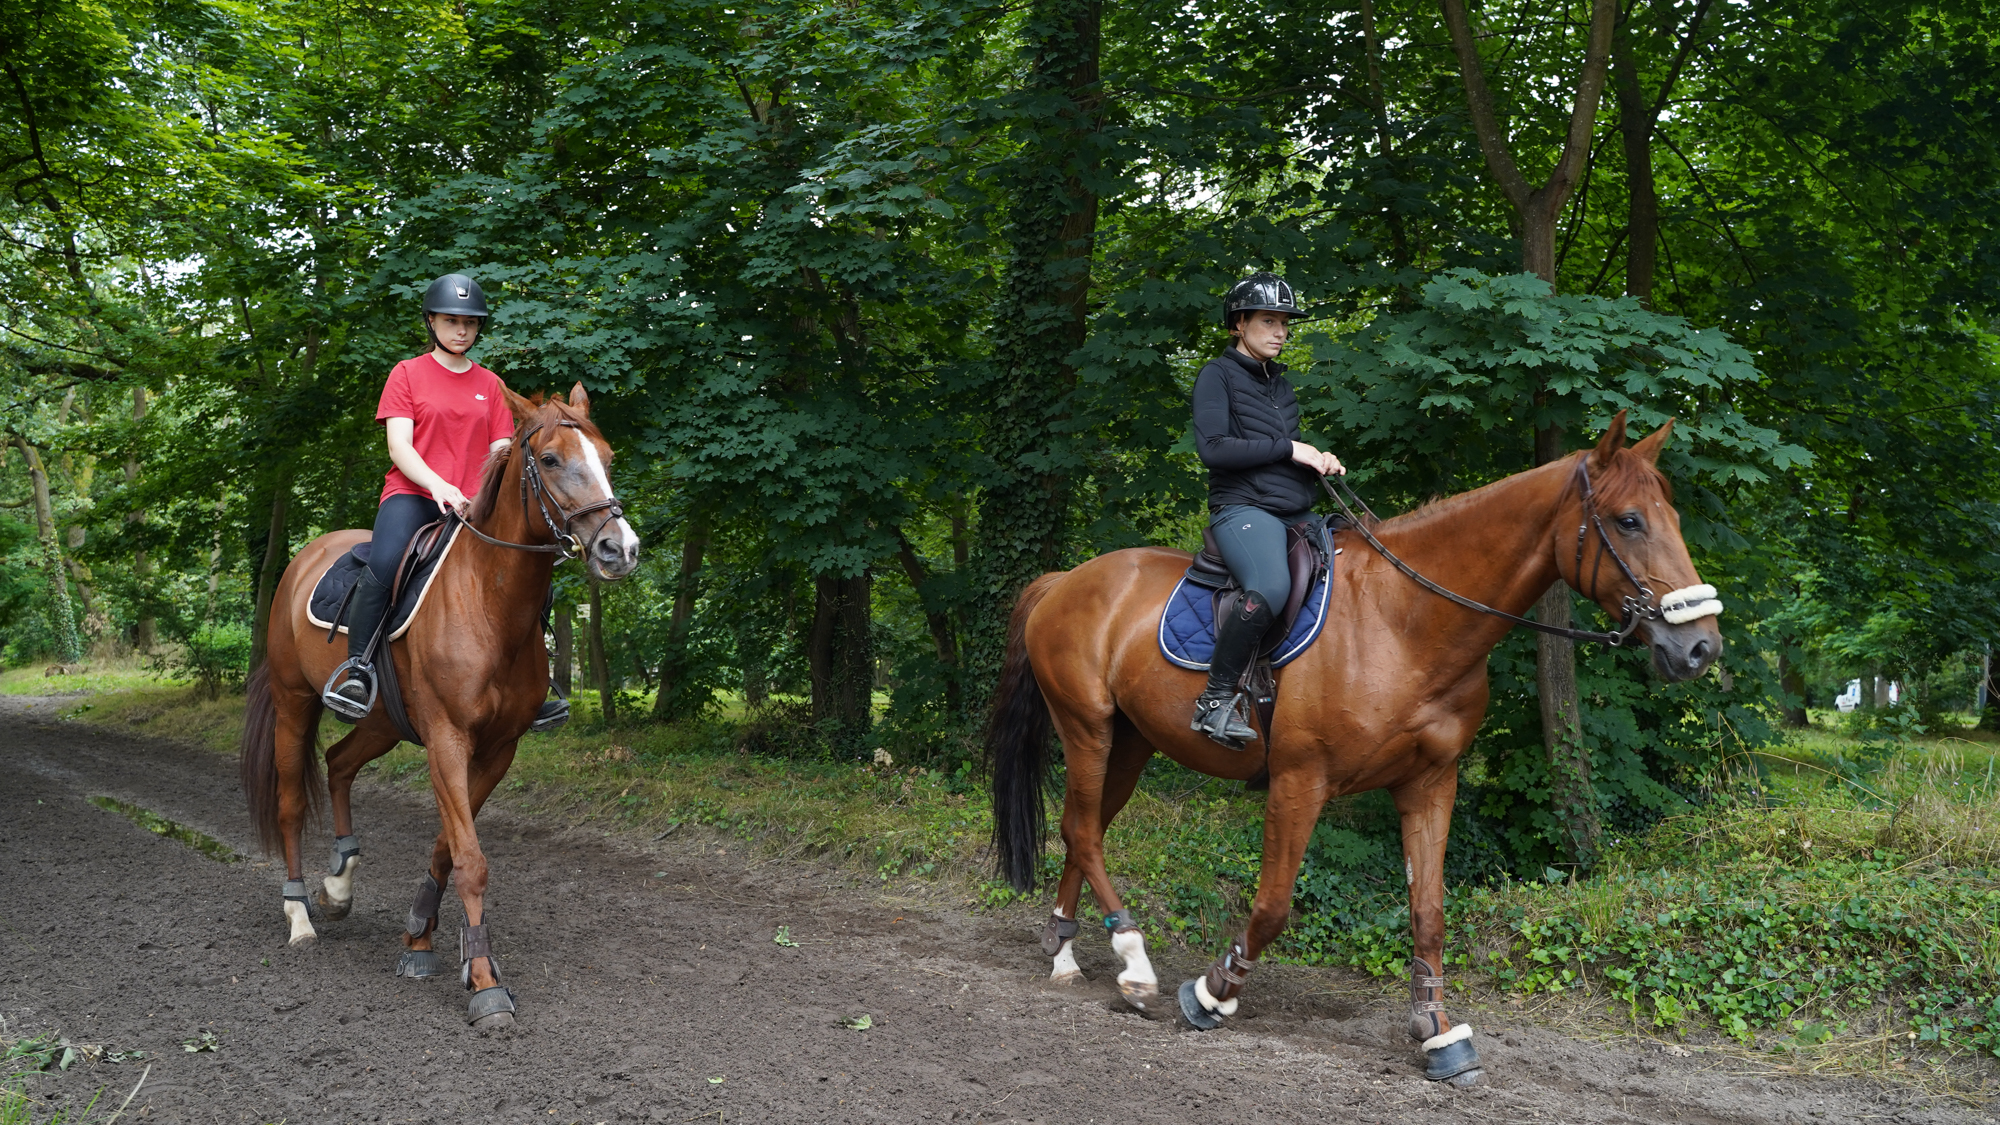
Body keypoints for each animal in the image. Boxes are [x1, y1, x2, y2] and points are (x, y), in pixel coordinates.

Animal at [240, 384, 640, 1024]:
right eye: (551, 459)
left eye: (607, 456)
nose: (619, 549)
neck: (489, 600)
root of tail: (305, 557)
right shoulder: (449, 739)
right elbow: (471, 860)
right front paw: (484, 982)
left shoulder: (498, 749)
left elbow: (448, 849)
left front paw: (419, 938)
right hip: (293, 700)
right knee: (289, 803)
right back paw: (300, 916)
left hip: (383, 722)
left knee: (339, 763)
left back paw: (340, 886)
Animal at [984, 412, 1720, 1080]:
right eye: (1629, 520)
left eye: (1673, 517)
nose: (1701, 647)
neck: (1406, 620)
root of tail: (1065, 580)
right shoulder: (1299, 780)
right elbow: (1274, 905)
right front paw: (1213, 994)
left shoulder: (1430, 782)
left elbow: (1429, 912)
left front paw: (1438, 1033)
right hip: (1087, 728)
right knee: (1083, 826)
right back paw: (1134, 961)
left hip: (1132, 742)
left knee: (1084, 826)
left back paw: (1065, 950)